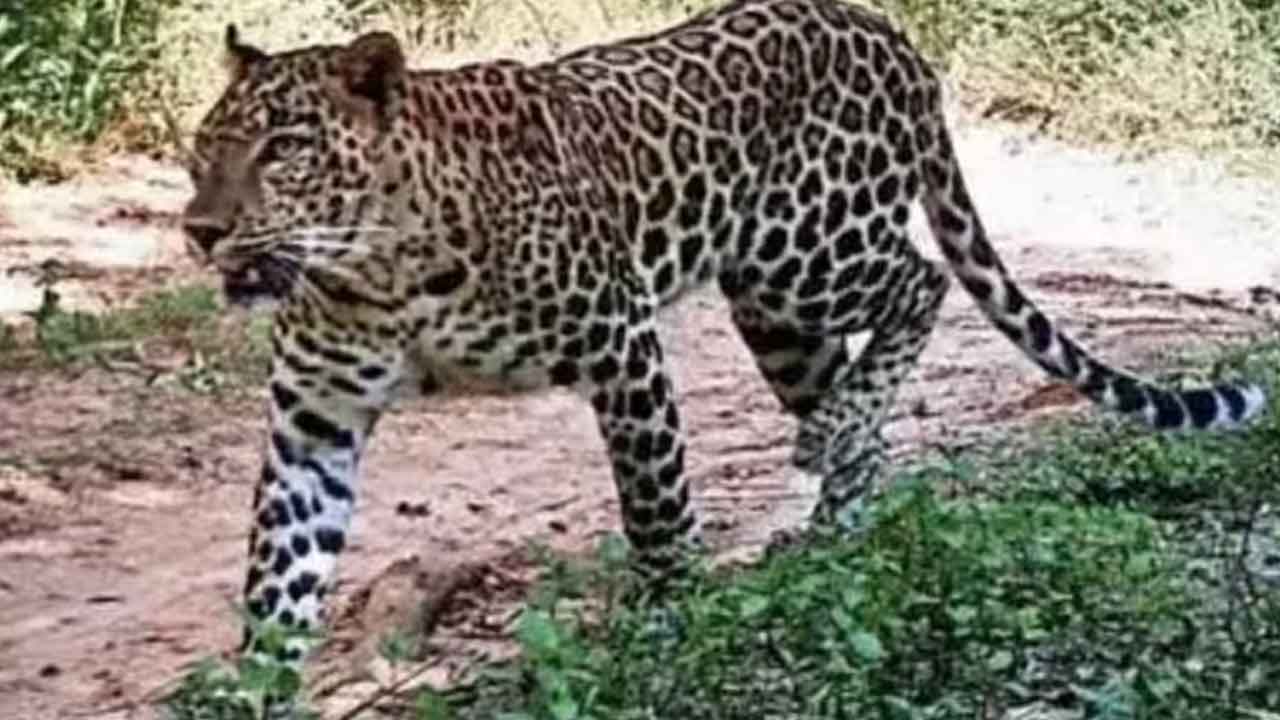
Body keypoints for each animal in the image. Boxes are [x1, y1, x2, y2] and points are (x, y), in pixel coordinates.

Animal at [181, 0, 1266, 696]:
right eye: (201, 153)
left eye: (284, 149)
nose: (198, 229)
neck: (375, 268)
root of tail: (889, 34)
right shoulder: (315, 418)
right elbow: (280, 573)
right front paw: (253, 688)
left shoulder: (619, 342)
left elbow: (656, 506)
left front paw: (667, 623)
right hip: (773, 311)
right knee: (853, 396)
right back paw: (834, 518)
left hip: (806, 251)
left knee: (917, 283)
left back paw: (828, 445)